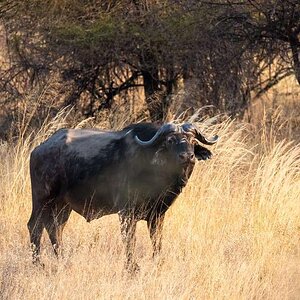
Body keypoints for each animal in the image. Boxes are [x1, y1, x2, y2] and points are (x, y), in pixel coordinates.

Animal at [28, 122, 218, 270]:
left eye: (193, 141)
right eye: (170, 140)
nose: (188, 156)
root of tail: (38, 150)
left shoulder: (157, 214)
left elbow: (156, 240)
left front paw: (157, 262)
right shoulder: (126, 213)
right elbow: (130, 240)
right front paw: (132, 267)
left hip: (62, 206)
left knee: (55, 228)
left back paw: (62, 259)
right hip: (42, 199)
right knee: (35, 227)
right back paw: (38, 264)